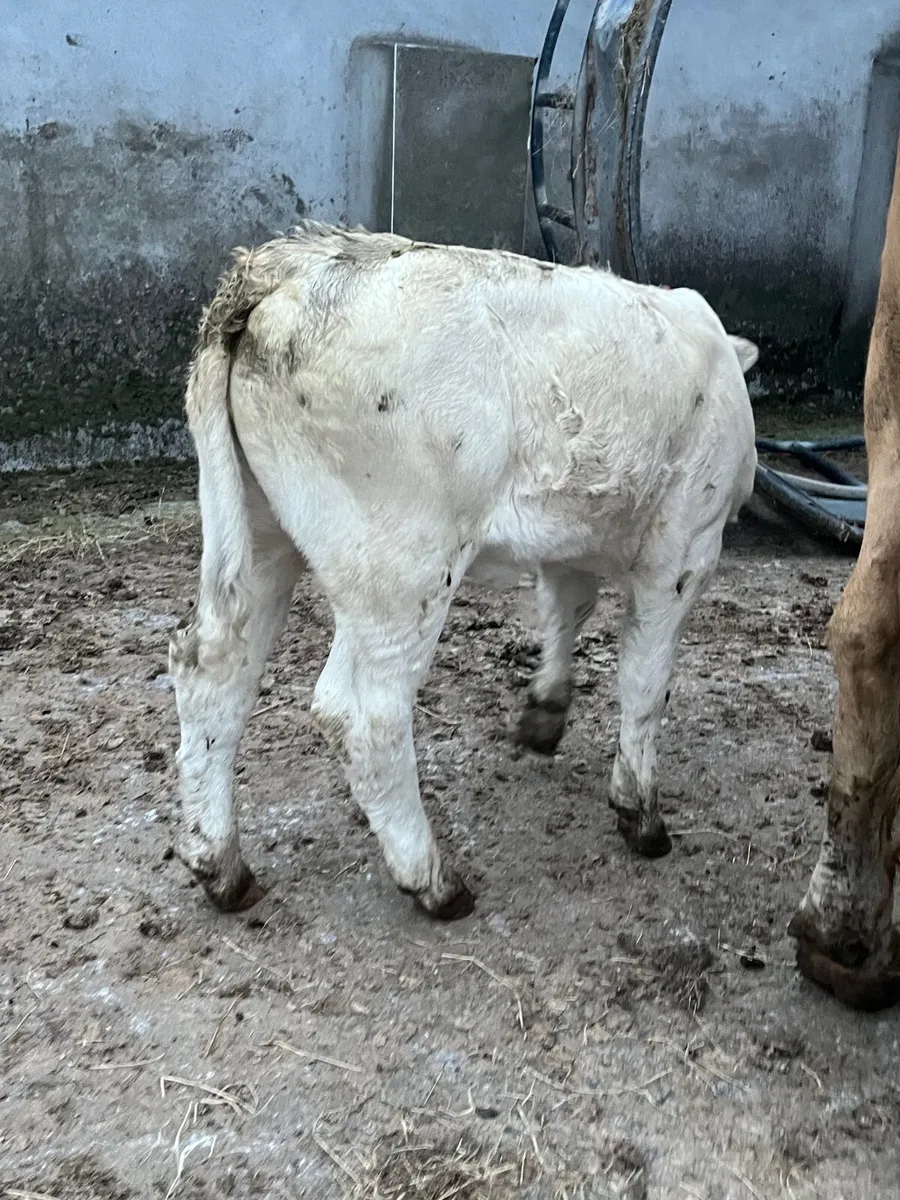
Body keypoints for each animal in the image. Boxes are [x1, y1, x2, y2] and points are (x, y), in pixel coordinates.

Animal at [168, 223, 758, 919]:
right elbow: (646, 681)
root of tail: (290, 264)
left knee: (213, 671)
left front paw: (545, 712)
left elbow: (568, 608)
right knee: (362, 714)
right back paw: (432, 880)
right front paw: (640, 813)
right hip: (404, 564)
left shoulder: (567, 537)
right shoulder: (685, 545)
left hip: (263, 537)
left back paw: (221, 866)